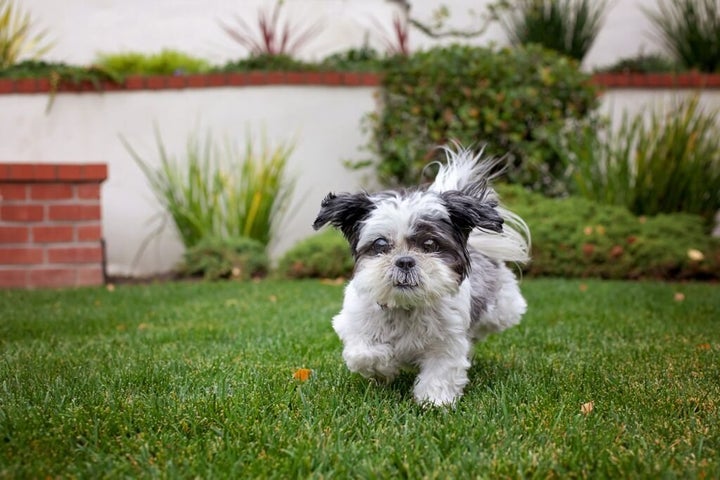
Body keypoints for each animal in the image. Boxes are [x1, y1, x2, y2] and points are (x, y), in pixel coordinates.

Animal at [314, 144, 528, 406]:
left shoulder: (447, 342)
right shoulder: (354, 324)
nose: (405, 261)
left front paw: (434, 401)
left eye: (429, 244)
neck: (406, 307)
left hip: (502, 309)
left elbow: (441, 370)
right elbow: (365, 354)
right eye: (380, 243)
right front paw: (386, 367)